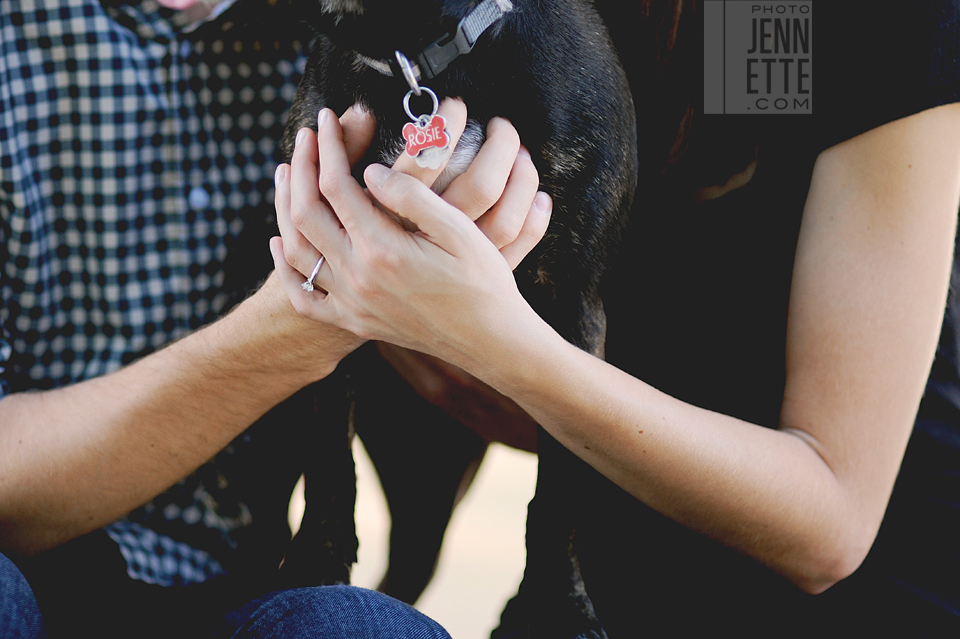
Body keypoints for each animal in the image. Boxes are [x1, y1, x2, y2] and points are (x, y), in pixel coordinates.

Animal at [278, 2, 636, 636]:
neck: (417, 61)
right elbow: (328, 449)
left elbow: (560, 485)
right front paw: (315, 566)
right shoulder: (330, 276)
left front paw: (558, 606)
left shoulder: (573, 311)